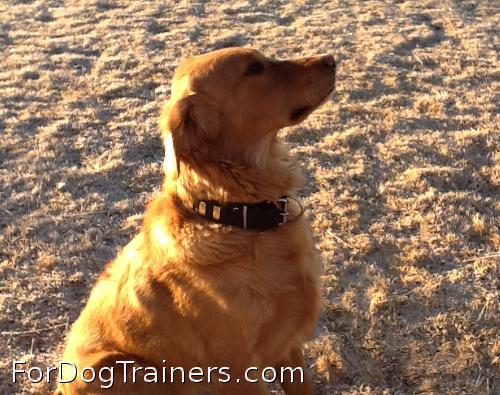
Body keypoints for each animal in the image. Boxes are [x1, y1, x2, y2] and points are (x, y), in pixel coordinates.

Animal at [54, 47, 336, 395]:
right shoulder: (241, 371)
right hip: (123, 368)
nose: (331, 59)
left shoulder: (288, 345)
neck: (234, 214)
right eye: (254, 69)